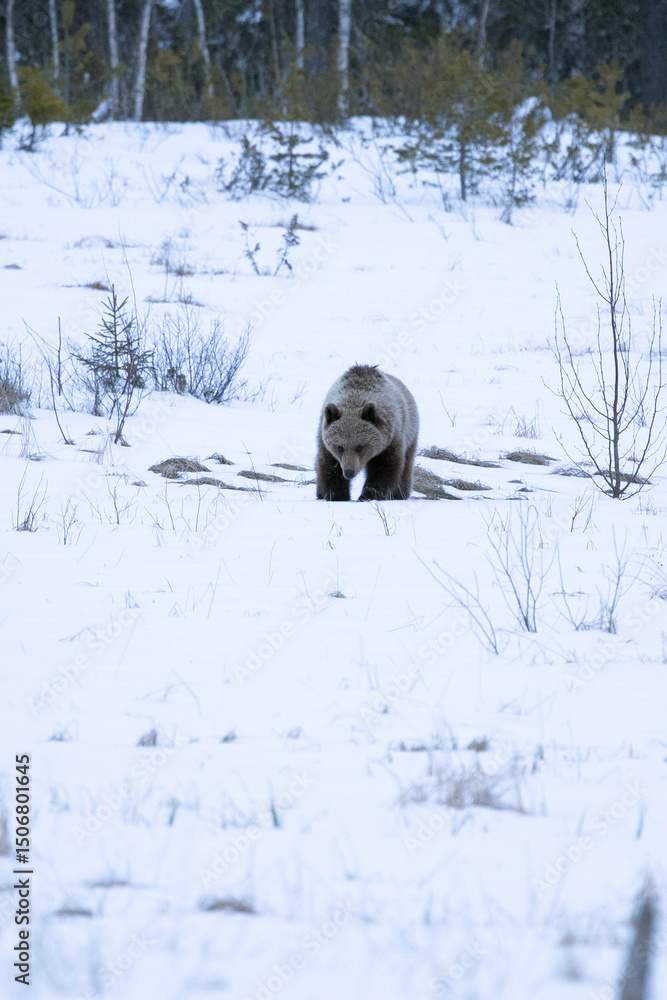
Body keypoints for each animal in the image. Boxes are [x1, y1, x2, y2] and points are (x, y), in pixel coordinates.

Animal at [316, 365, 419, 501]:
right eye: (340, 448)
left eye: (360, 447)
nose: (349, 472)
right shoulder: (325, 440)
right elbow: (329, 465)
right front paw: (337, 494)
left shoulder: (391, 440)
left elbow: (384, 469)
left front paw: (368, 495)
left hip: (410, 433)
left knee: (406, 465)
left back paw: (400, 493)